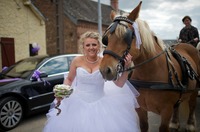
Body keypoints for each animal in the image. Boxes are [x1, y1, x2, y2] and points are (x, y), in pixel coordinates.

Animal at [99, 1, 199, 132]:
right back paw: (175, 122)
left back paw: (191, 124)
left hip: (195, 89)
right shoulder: (140, 108)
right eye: (106, 39)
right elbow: (143, 126)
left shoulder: (166, 111)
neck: (149, 74)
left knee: (192, 104)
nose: (105, 70)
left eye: (127, 36)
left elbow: (163, 127)